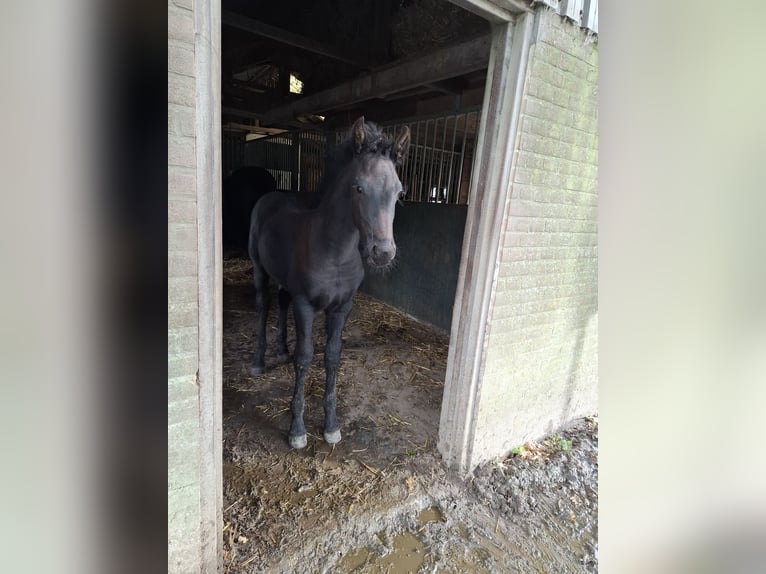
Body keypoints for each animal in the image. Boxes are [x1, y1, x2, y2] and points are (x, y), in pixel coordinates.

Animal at [248, 117, 410, 449]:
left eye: (399, 192)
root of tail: (272, 196)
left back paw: (280, 350)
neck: (335, 251)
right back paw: (259, 361)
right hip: (260, 271)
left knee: (280, 304)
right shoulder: (305, 305)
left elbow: (332, 357)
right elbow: (305, 357)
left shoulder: (342, 307)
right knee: (263, 307)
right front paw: (297, 430)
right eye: (359, 187)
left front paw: (331, 426)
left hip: (285, 283)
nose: (383, 253)